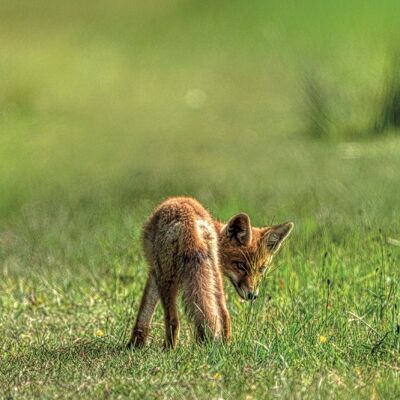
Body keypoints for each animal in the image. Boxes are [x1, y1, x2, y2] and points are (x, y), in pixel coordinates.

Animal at [129, 196, 294, 346]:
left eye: (261, 269)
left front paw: (134, 345)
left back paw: (169, 350)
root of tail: (190, 220)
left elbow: (144, 311)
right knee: (224, 314)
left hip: (168, 278)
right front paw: (136, 345)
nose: (252, 295)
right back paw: (226, 347)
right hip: (214, 274)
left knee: (173, 320)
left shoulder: (155, 270)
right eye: (240, 266)